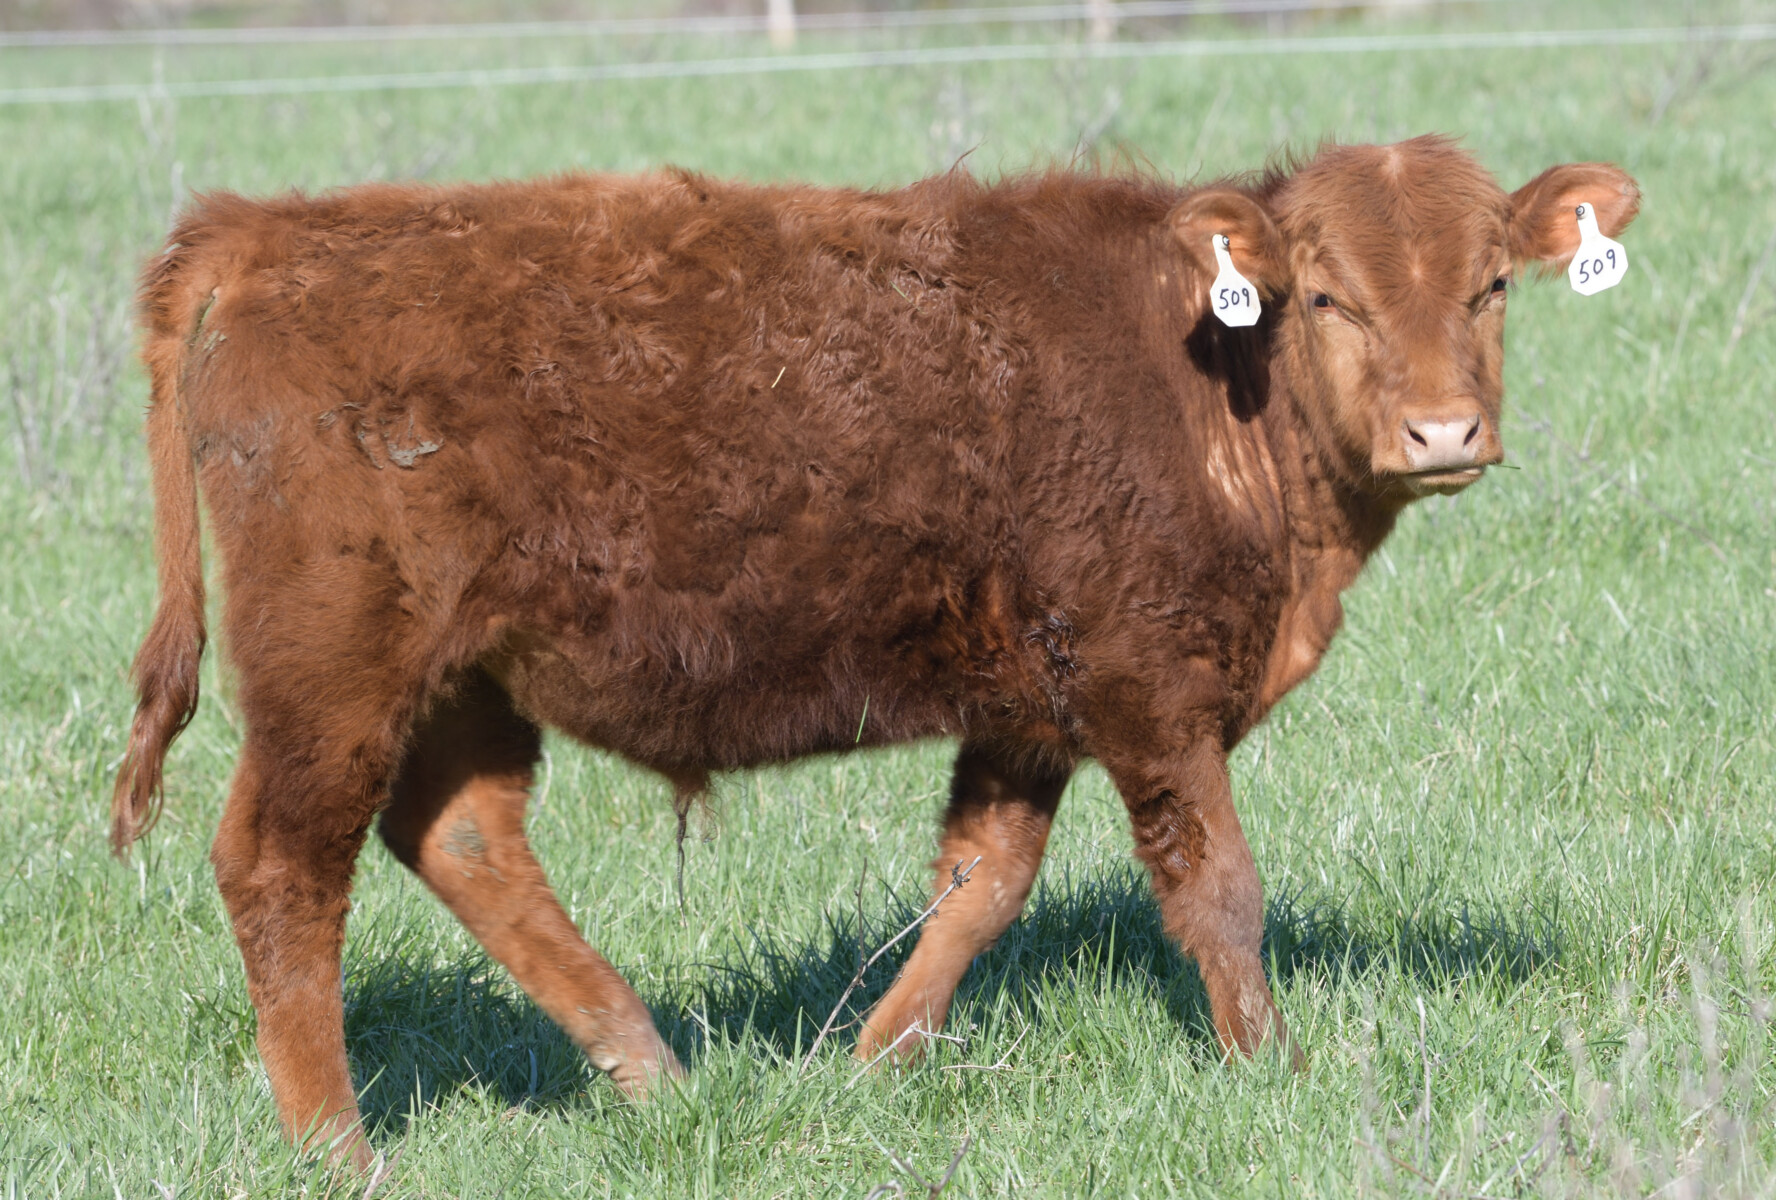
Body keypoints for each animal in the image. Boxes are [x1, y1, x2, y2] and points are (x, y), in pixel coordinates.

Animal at [111, 135, 1638, 1167]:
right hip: (333, 671)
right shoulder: (1149, 687)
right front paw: (1276, 1073)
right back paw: (338, 1151)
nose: (1443, 431)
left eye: (1494, 286)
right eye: (1327, 298)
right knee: (283, 870)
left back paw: (652, 1070)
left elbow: (982, 880)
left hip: (461, 679)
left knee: (466, 840)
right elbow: (1220, 895)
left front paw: (871, 1061)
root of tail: (265, 233)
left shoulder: (1031, 703)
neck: (1204, 384)